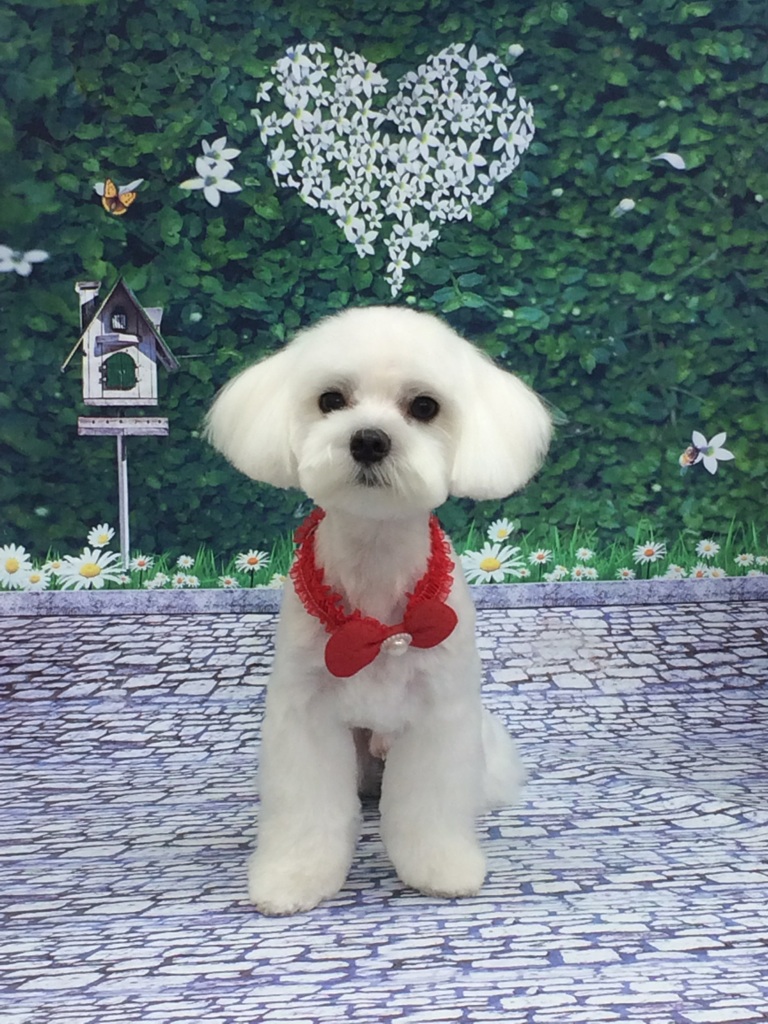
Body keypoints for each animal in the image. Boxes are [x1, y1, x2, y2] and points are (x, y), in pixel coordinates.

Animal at [206, 306, 551, 915]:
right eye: (330, 400)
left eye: (424, 407)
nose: (369, 439)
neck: (374, 561)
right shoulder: (306, 716)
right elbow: (306, 811)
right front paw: (293, 878)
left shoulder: (439, 716)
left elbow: (429, 808)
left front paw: (442, 868)